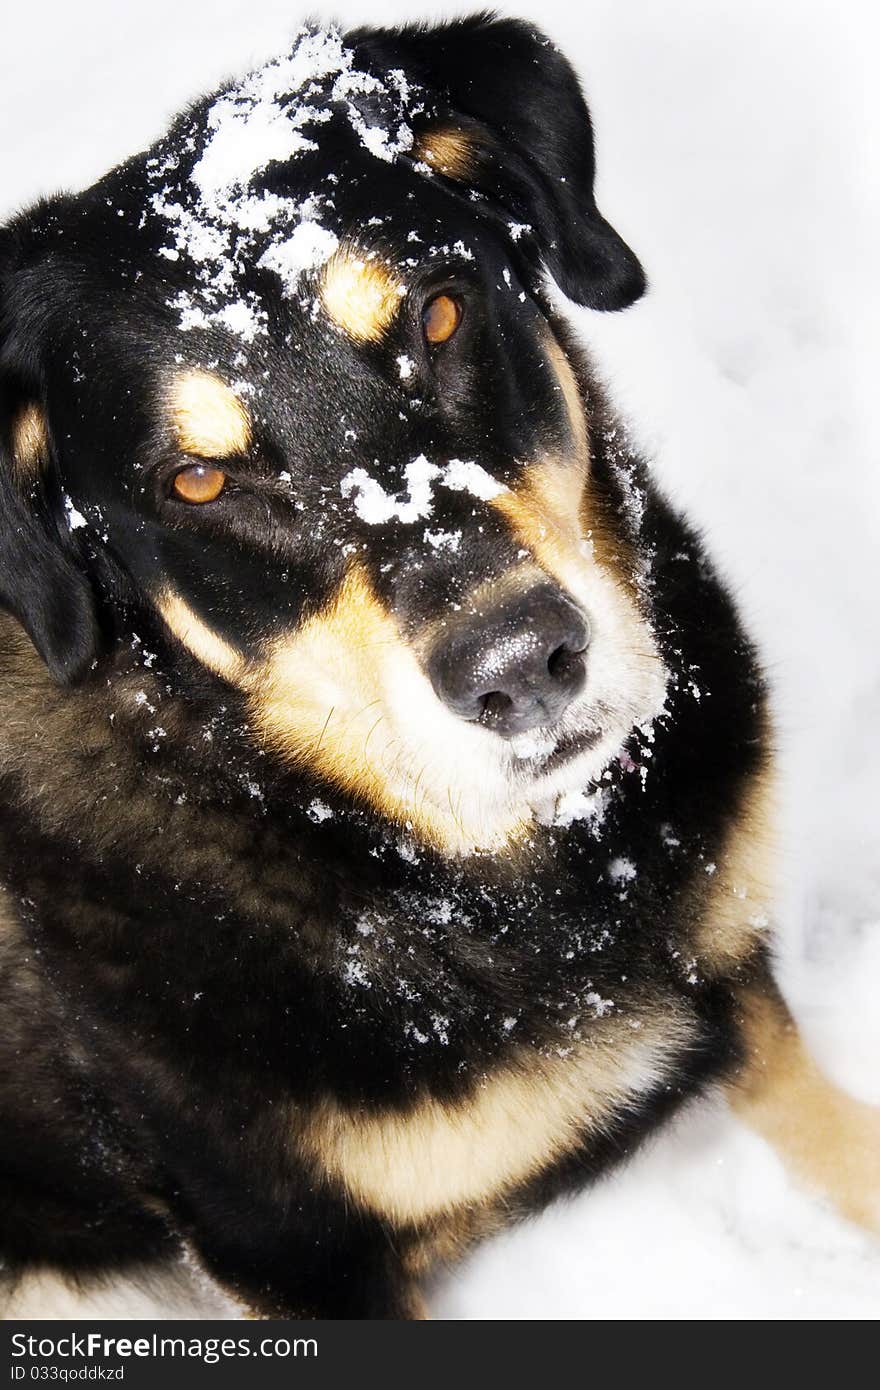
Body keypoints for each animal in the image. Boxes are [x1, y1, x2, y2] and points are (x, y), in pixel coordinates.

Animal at [0, 13, 873, 1312]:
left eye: (440, 315)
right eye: (197, 481)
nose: (520, 666)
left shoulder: (721, 963)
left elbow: (805, 1097)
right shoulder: (294, 1249)